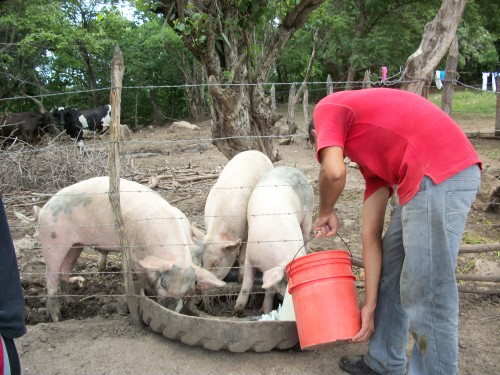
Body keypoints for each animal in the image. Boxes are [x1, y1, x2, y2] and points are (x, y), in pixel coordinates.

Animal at [35, 177, 223, 324]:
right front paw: (147, 293)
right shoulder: (134, 254)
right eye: (164, 283)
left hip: (75, 245)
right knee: (50, 274)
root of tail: (44, 209)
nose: (166, 307)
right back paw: (57, 317)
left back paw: (70, 301)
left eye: (189, 286)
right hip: (52, 239)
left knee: (65, 269)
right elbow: (143, 277)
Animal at [203, 150, 274, 282]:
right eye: (202, 261)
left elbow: (242, 254)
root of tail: (256, 151)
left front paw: (240, 279)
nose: (199, 286)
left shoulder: (246, 230)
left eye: (217, 262)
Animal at [233, 167, 312, 314]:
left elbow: (269, 290)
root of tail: (293, 169)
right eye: (287, 281)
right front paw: (236, 311)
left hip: (308, 213)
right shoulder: (249, 257)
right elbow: (247, 284)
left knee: (306, 233)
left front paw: (265, 311)